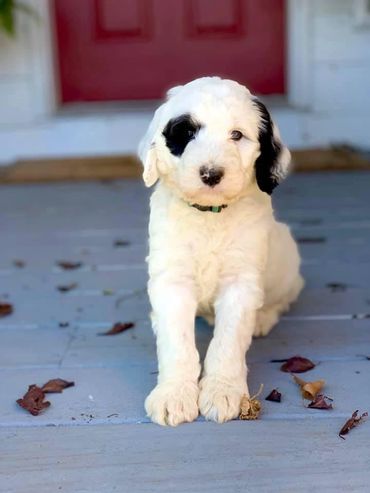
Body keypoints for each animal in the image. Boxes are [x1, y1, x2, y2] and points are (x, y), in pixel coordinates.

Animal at [139, 77, 304, 426]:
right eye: (186, 133)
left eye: (237, 135)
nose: (210, 174)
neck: (209, 216)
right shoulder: (171, 279)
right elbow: (177, 342)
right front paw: (174, 394)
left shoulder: (240, 282)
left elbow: (227, 341)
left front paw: (223, 392)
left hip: (285, 258)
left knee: (287, 294)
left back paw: (262, 318)